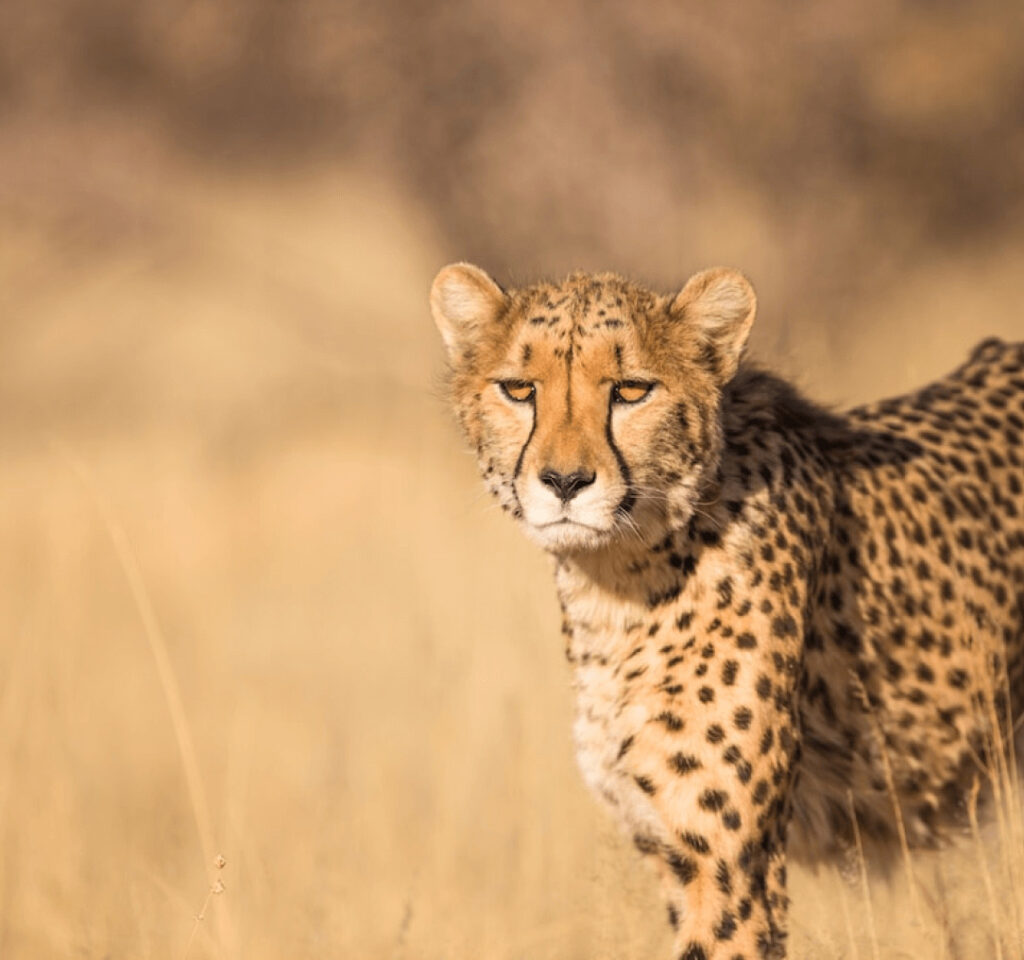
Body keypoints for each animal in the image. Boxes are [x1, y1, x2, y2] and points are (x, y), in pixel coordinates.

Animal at [429, 262, 1024, 960]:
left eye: (632, 390)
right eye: (519, 389)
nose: (565, 482)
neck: (619, 582)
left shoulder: (727, 861)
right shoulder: (669, 846)